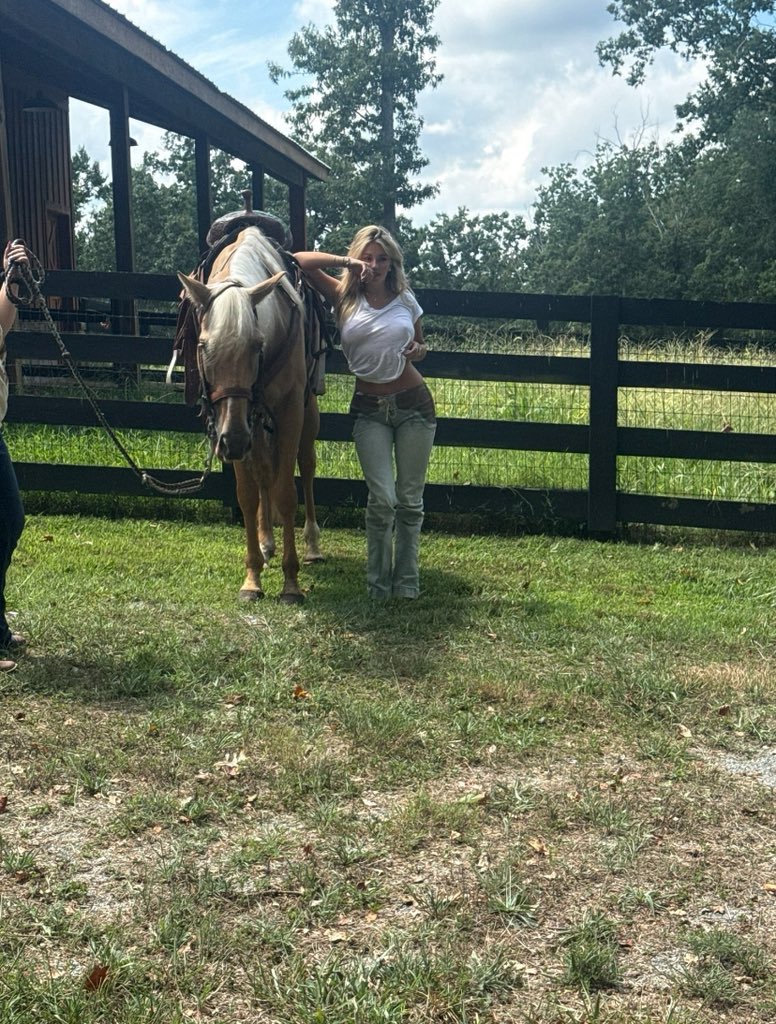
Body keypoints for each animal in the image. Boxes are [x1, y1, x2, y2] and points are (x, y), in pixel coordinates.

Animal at [178, 226, 323, 603]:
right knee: (263, 471)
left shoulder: (288, 411)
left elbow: (286, 491)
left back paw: (312, 546)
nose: (233, 442)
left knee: (307, 466)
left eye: (257, 345)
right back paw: (267, 542)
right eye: (203, 346)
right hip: (251, 425)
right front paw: (252, 578)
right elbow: (247, 493)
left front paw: (291, 584)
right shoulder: (234, 426)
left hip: (303, 413)